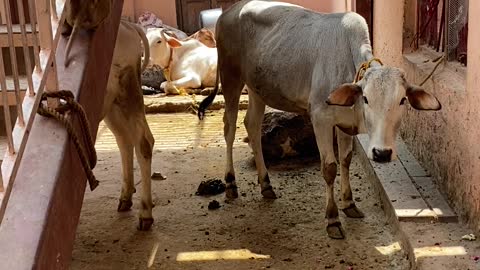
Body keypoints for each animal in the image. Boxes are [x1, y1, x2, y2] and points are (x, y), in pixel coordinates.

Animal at [197, 0, 440, 240]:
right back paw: (230, 183)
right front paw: (332, 219)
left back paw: (266, 185)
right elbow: (330, 167)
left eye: (402, 100)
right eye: (366, 98)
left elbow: (346, 159)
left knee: (253, 127)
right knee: (229, 128)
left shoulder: (344, 123)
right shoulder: (320, 118)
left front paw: (349, 204)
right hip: (231, 78)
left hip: (258, 90)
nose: (382, 153)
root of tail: (230, 11)